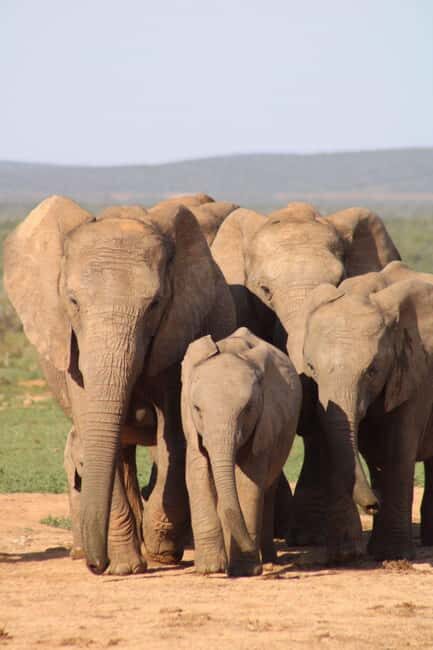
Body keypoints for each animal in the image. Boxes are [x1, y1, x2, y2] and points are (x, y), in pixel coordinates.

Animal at [4, 195, 236, 575]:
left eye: (154, 304)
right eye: (72, 301)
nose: (94, 564)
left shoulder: (178, 329)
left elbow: (174, 434)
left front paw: (160, 548)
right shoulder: (73, 352)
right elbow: (92, 430)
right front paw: (125, 568)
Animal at [181, 327, 301, 576]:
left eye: (247, 409)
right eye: (197, 408)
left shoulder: (264, 423)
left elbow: (249, 483)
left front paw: (245, 569)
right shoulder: (191, 425)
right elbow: (198, 474)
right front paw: (210, 568)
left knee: (268, 490)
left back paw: (269, 560)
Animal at [302, 261, 433, 562]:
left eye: (372, 371)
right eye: (311, 368)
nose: (373, 505)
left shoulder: (415, 373)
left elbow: (397, 450)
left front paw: (393, 555)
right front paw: (344, 556)